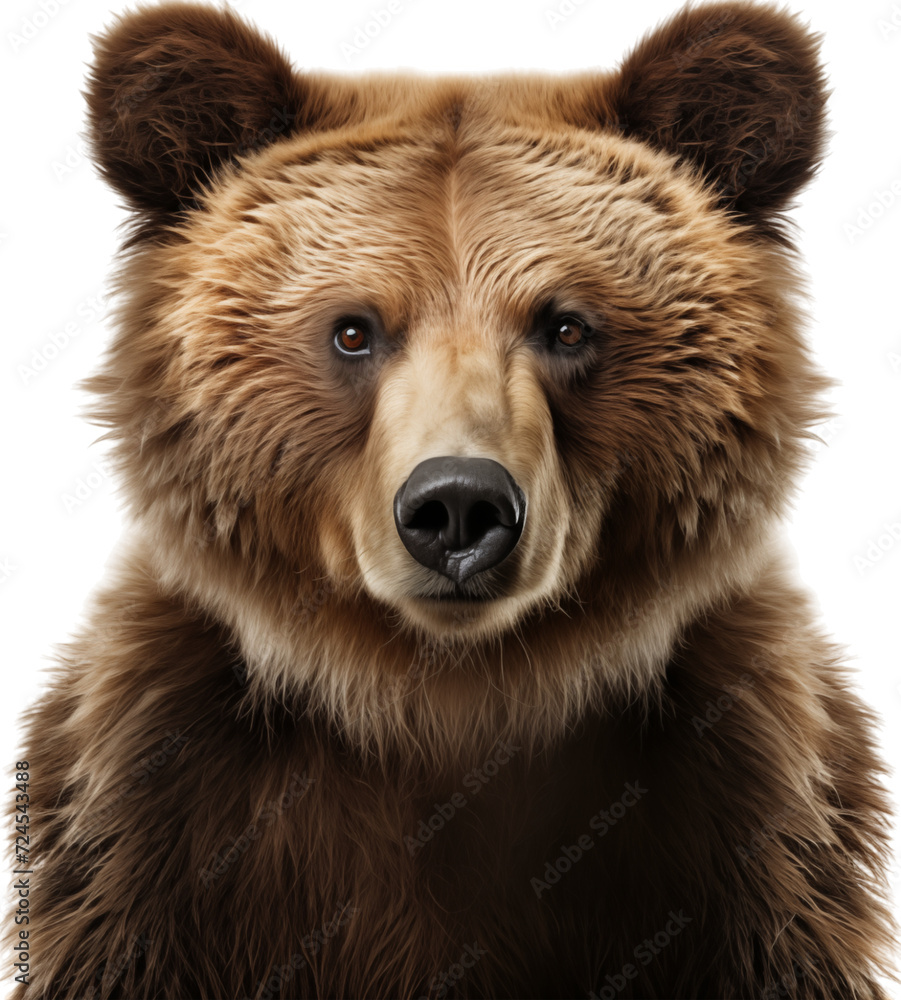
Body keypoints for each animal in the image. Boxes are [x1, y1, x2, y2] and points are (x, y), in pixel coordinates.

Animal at [10, 1, 897, 997]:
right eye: (353, 330)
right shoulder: (150, 830)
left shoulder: (749, 832)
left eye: (565, 325)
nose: (459, 508)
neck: (446, 704)